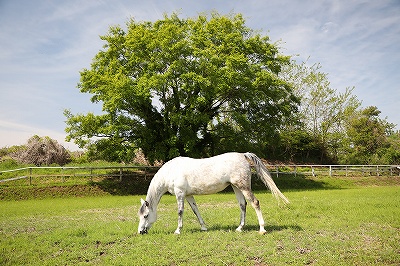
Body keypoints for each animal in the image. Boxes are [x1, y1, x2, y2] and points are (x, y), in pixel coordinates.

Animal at [137, 152, 288, 235]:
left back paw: (262, 229)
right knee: (242, 205)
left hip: (243, 186)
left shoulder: (180, 194)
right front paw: (203, 227)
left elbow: (180, 212)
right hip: (236, 187)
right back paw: (239, 228)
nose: (140, 232)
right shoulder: (188, 195)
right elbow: (195, 210)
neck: (171, 171)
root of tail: (242, 155)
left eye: (146, 215)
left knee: (255, 203)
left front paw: (177, 231)